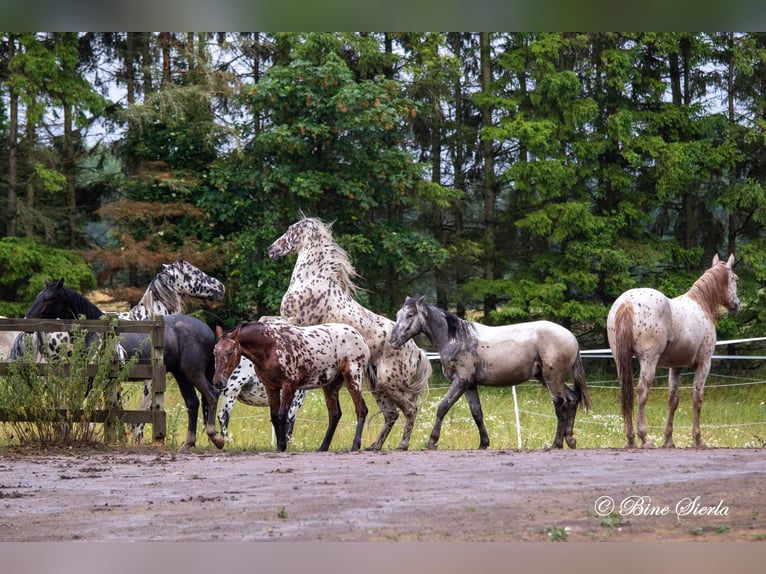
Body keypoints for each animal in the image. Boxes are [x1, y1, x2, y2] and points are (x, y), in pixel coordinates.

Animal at [21, 280, 224, 454]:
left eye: (48, 298)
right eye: (39, 295)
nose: (27, 320)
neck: (97, 333)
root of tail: (207, 331)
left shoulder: (92, 379)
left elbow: (76, 405)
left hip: (193, 373)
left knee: (212, 395)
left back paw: (216, 437)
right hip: (181, 375)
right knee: (193, 403)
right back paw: (188, 443)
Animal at [213, 322, 372, 452]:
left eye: (230, 352)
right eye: (215, 351)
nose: (218, 382)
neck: (271, 346)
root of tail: (360, 337)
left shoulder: (289, 387)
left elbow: (283, 415)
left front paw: (282, 445)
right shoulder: (271, 388)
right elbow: (275, 416)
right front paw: (279, 446)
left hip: (353, 377)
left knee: (361, 410)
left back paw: (355, 445)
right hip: (330, 386)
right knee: (334, 414)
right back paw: (323, 447)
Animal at [270, 214, 432, 452]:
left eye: (291, 230)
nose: (271, 250)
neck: (312, 279)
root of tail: (417, 351)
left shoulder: (294, 321)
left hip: (389, 383)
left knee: (410, 410)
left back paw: (401, 445)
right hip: (377, 387)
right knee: (391, 415)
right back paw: (373, 446)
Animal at [390, 300, 592, 452]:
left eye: (410, 315)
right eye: (398, 315)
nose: (392, 341)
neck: (458, 339)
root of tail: (571, 337)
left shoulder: (460, 382)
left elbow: (442, 408)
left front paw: (432, 442)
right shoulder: (470, 385)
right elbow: (477, 413)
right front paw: (483, 444)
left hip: (552, 378)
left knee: (560, 404)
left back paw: (556, 444)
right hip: (546, 378)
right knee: (573, 399)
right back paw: (570, 440)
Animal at [608, 255, 740, 450]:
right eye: (735, 279)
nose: (737, 304)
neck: (701, 304)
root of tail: (627, 303)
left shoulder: (676, 367)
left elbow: (673, 401)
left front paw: (668, 440)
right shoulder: (704, 364)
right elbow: (697, 400)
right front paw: (698, 439)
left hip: (620, 359)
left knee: (627, 393)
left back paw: (631, 439)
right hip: (649, 360)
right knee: (642, 392)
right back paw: (645, 438)